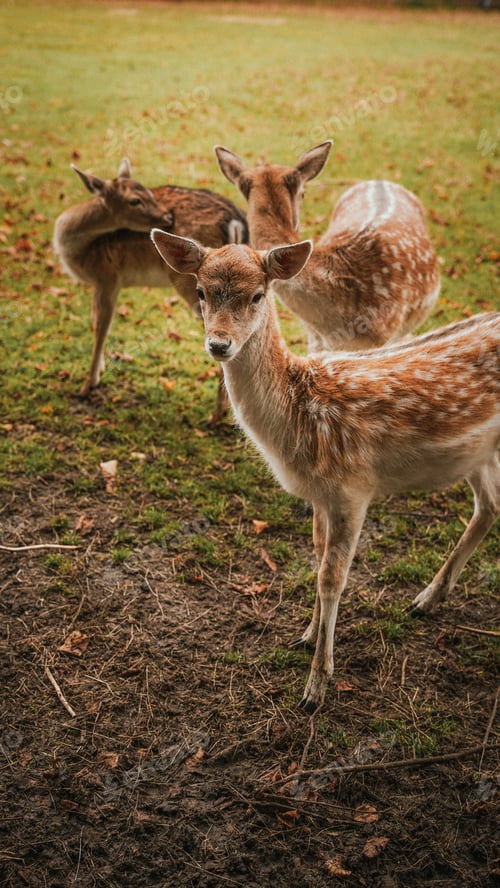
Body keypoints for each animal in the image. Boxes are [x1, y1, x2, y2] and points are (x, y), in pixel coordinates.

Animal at [53, 158, 248, 424]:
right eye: (137, 198)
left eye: (144, 195)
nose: (168, 216)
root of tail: (237, 222)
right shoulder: (99, 283)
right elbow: (94, 322)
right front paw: (99, 371)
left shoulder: (107, 277)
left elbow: (102, 328)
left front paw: (86, 386)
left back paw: (216, 416)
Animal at [150, 229, 500, 714]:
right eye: (201, 291)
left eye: (258, 295)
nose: (219, 344)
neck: (298, 421)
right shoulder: (319, 494)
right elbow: (316, 559)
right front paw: (307, 634)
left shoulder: (355, 488)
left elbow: (333, 578)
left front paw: (316, 685)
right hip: (477, 453)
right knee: (489, 507)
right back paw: (427, 599)